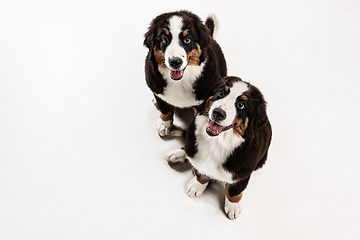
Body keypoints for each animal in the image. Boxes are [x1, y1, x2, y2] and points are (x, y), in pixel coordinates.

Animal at [165, 76, 272, 219]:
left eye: (241, 105)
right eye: (221, 93)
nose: (218, 113)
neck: (217, 142)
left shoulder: (242, 173)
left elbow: (234, 190)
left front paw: (233, 206)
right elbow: (201, 173)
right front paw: (197, 186)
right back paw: (176, 154)